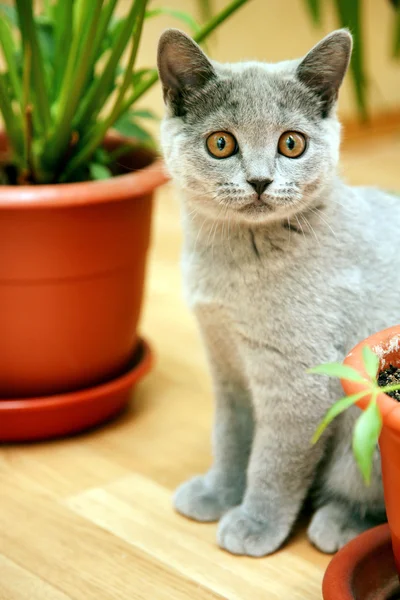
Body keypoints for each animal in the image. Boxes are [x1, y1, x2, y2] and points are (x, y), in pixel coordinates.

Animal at [157, 27, 396, 552]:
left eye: (291, 143)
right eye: (221, 143)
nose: (260, 180)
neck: (229, 261)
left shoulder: (298, 378)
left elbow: (273, 462)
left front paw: (255, 523)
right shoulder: (225, 362)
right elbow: (231, 436)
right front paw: (218, 492)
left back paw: (339, 523)